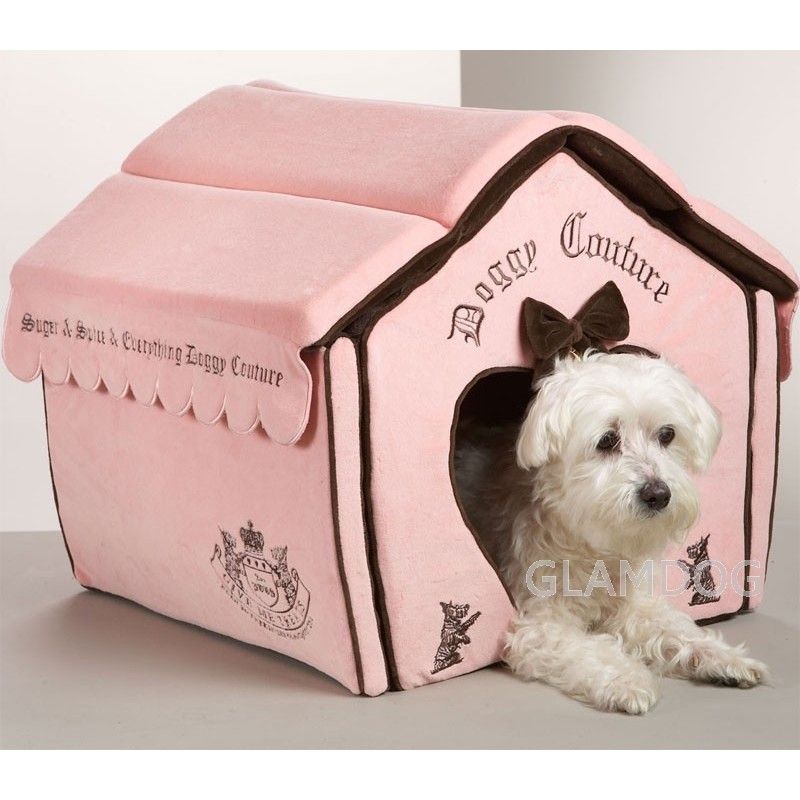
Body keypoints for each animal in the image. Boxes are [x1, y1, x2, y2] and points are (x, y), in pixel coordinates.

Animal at [455, 350, 769, 714]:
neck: (592, 543)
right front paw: (626, 679)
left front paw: (723, 657)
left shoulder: (632, 605)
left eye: (667, 434)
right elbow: (590, 650)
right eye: (606, 440)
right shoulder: (538, 625)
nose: (657, 494)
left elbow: (675, 628)